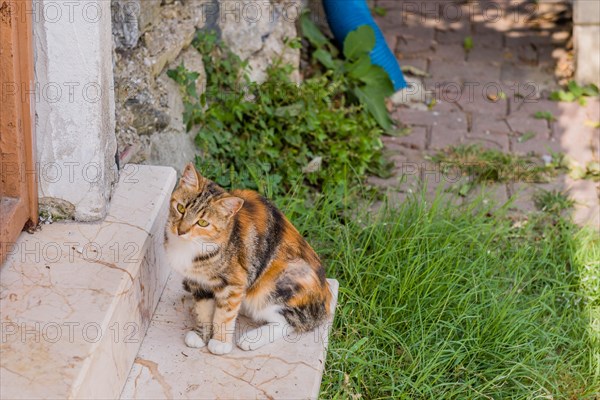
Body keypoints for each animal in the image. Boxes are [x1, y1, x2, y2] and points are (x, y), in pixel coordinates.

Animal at [164, 164, 332, 354]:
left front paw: (220, 342)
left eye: (203, 223)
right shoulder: (197, 281)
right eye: (181, 208)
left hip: (276, 284)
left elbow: (225, 314)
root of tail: (325, 301)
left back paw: (251, 338)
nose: (181, 230)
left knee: (291, 322)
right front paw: (201, 334)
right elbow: (203, 309)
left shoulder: (233, 283)